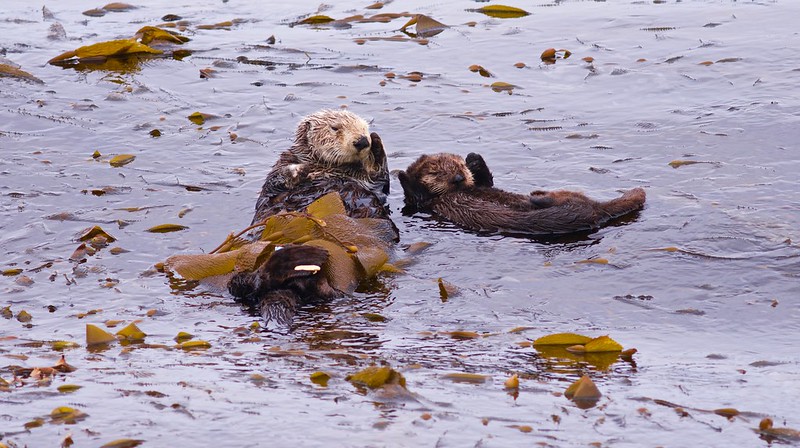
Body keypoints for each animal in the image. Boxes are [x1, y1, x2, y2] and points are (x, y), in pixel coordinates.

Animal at [230, 109, 396, 326]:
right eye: (335, 128)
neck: (328, 168)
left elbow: (379, 177)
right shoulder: (281, 166)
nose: (362, 140)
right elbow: (278, 179)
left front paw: (376, 141)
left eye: (364, 127)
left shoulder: (372, 183)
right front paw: (299, 171)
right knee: (243, 285)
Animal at [396, 152, 648, 236]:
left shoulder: (482, 186)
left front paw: (474, 159)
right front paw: (402, 175)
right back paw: (538, 197)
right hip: (570, 214)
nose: (459, 178)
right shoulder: (423, 203)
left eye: (460, 167)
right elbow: (415, 194)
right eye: (436, 172)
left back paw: (536, 195)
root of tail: (600, 207)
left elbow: (487, 182)